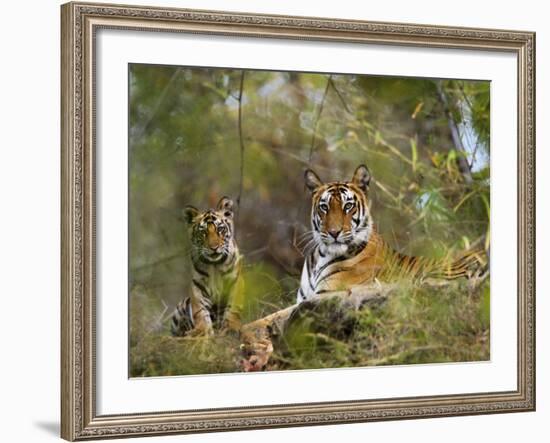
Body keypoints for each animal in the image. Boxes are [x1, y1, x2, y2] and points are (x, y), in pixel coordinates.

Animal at [170, 196, 244, 338]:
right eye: (203, 232)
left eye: (220, 229)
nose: (214, 248)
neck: (215, 265)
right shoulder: (198, 286)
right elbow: (200, 311)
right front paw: (202, 330)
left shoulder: (235, 282)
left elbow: (233, 308)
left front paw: (231, 327)